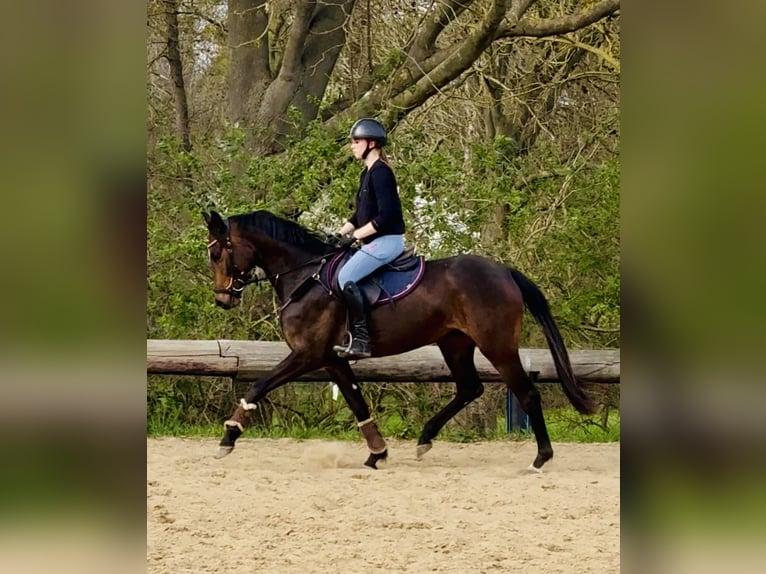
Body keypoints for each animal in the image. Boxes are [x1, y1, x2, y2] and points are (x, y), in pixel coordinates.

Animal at [203, 209, 596, 471]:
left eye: (216, 253)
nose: (222, 299)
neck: (305, 276)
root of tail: (504, 271)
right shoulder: (333, 359)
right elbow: (357, 403)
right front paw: (377, 453)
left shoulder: (308, 355)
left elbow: (259, 385)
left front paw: (229, 436)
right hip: (455, 344)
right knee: (469, 388)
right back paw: (424, 440)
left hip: (496, 346)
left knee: (527, 393)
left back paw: (540, 459)